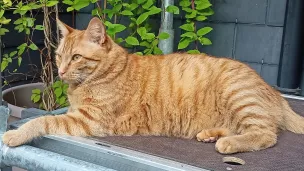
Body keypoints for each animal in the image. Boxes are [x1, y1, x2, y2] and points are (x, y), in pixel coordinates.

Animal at [2, 17, 304, 154]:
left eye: (76, 57)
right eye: (59, 56)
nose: (62, 71)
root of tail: (273, 91)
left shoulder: (88, 121)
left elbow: (41, 121)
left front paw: (14, 135)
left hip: (239, 96)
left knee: (265, 134)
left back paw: (227, 143)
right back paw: (211, 134)